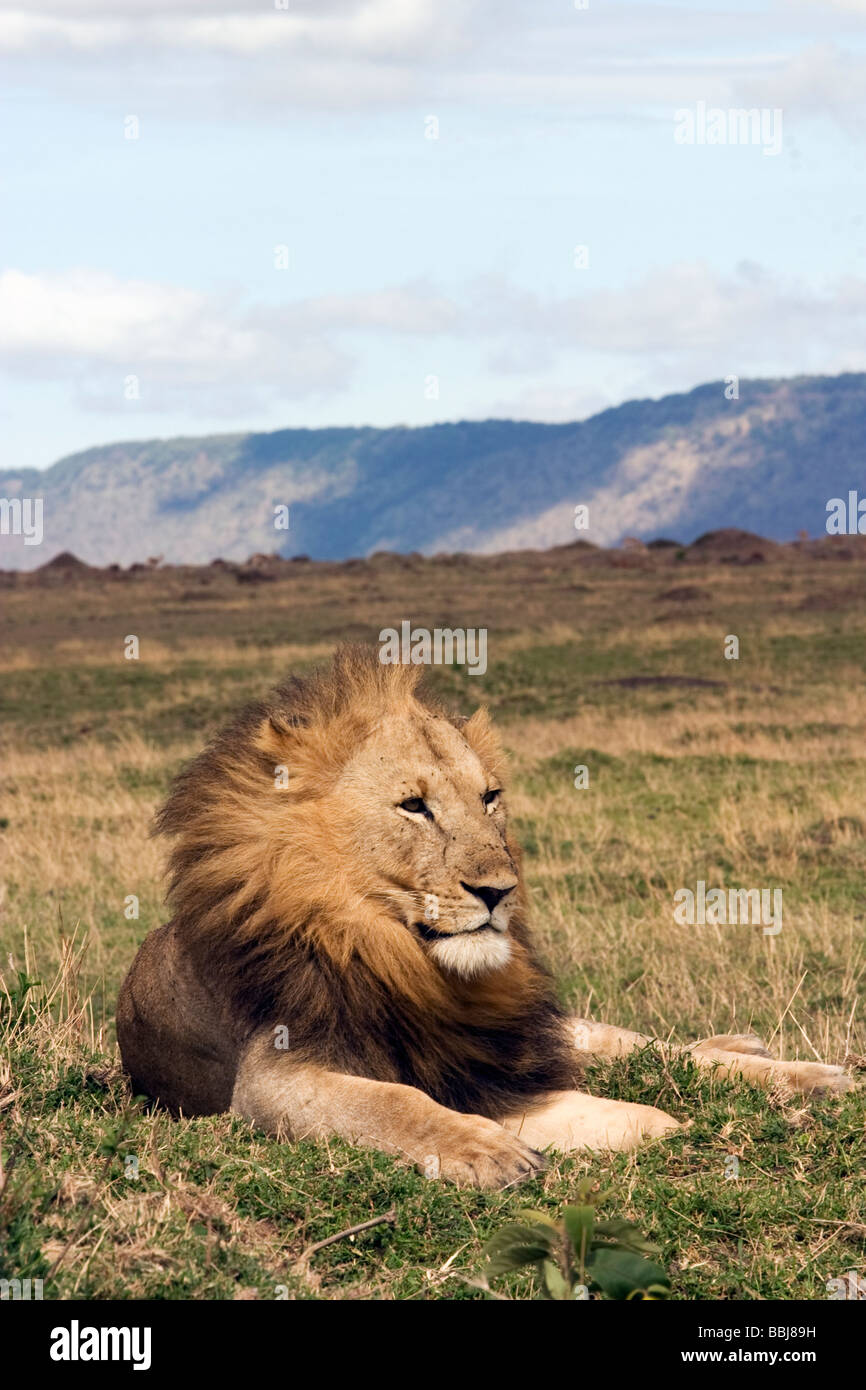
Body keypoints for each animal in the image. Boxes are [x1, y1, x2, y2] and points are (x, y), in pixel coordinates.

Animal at [116, 646, 851, 1188]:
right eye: (414, 805)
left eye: (490, 797)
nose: (500, 890)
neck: (401, 961)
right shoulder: (272, 1079)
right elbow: (393, 1102)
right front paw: (489, 1149)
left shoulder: (491, 1057)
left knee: (643, 1044)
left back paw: (801, 1073)